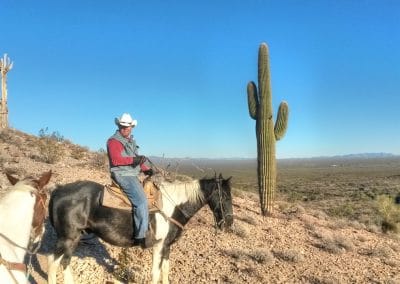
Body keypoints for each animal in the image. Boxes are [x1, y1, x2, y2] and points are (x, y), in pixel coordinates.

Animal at [48, 173, 233, 284]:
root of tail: (57, 190)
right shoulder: (158, 245)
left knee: (62, 262)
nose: (229, 223)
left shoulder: (167, 246)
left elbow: (165, 271)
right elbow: (155, 273)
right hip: (68, 238)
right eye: (224, 196)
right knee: (55, 263)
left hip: (73, 238)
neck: (173, 206)